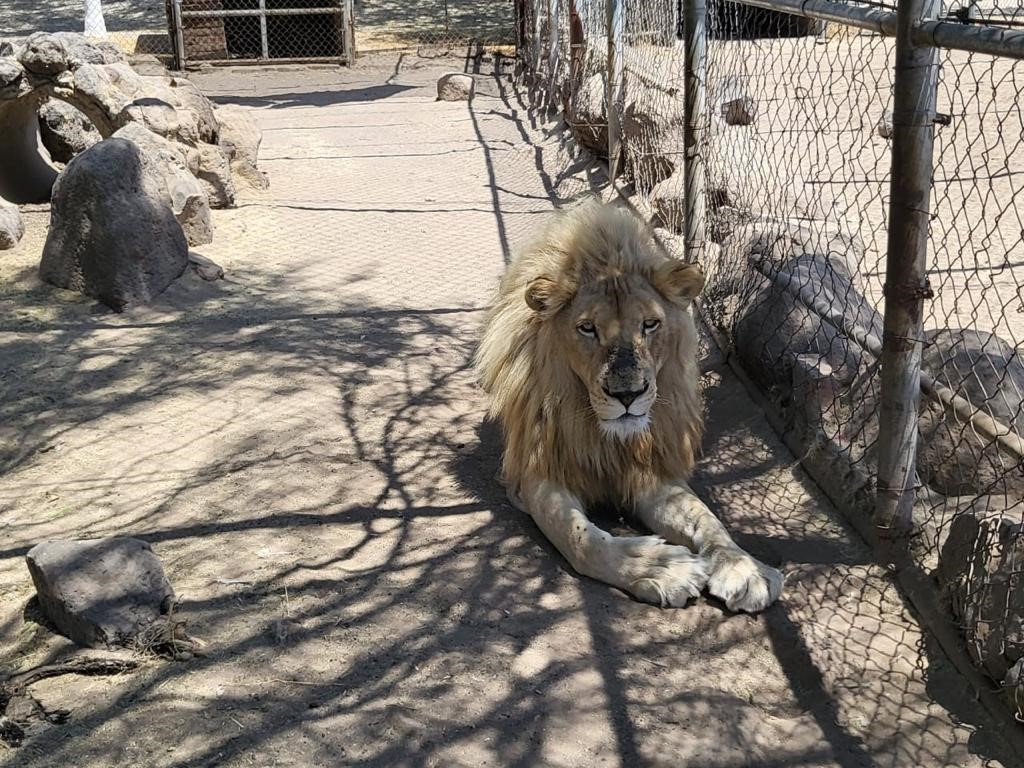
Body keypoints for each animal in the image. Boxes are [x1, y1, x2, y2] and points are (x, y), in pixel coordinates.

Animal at [475, 199, 778, 614]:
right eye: (587, 328)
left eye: (650, 324)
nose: (628, 395)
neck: (604, 434)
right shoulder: (540, 472)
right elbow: (581, 538)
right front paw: (659, 568)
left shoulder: (651, 471)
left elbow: (707, 518)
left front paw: (744, 567)